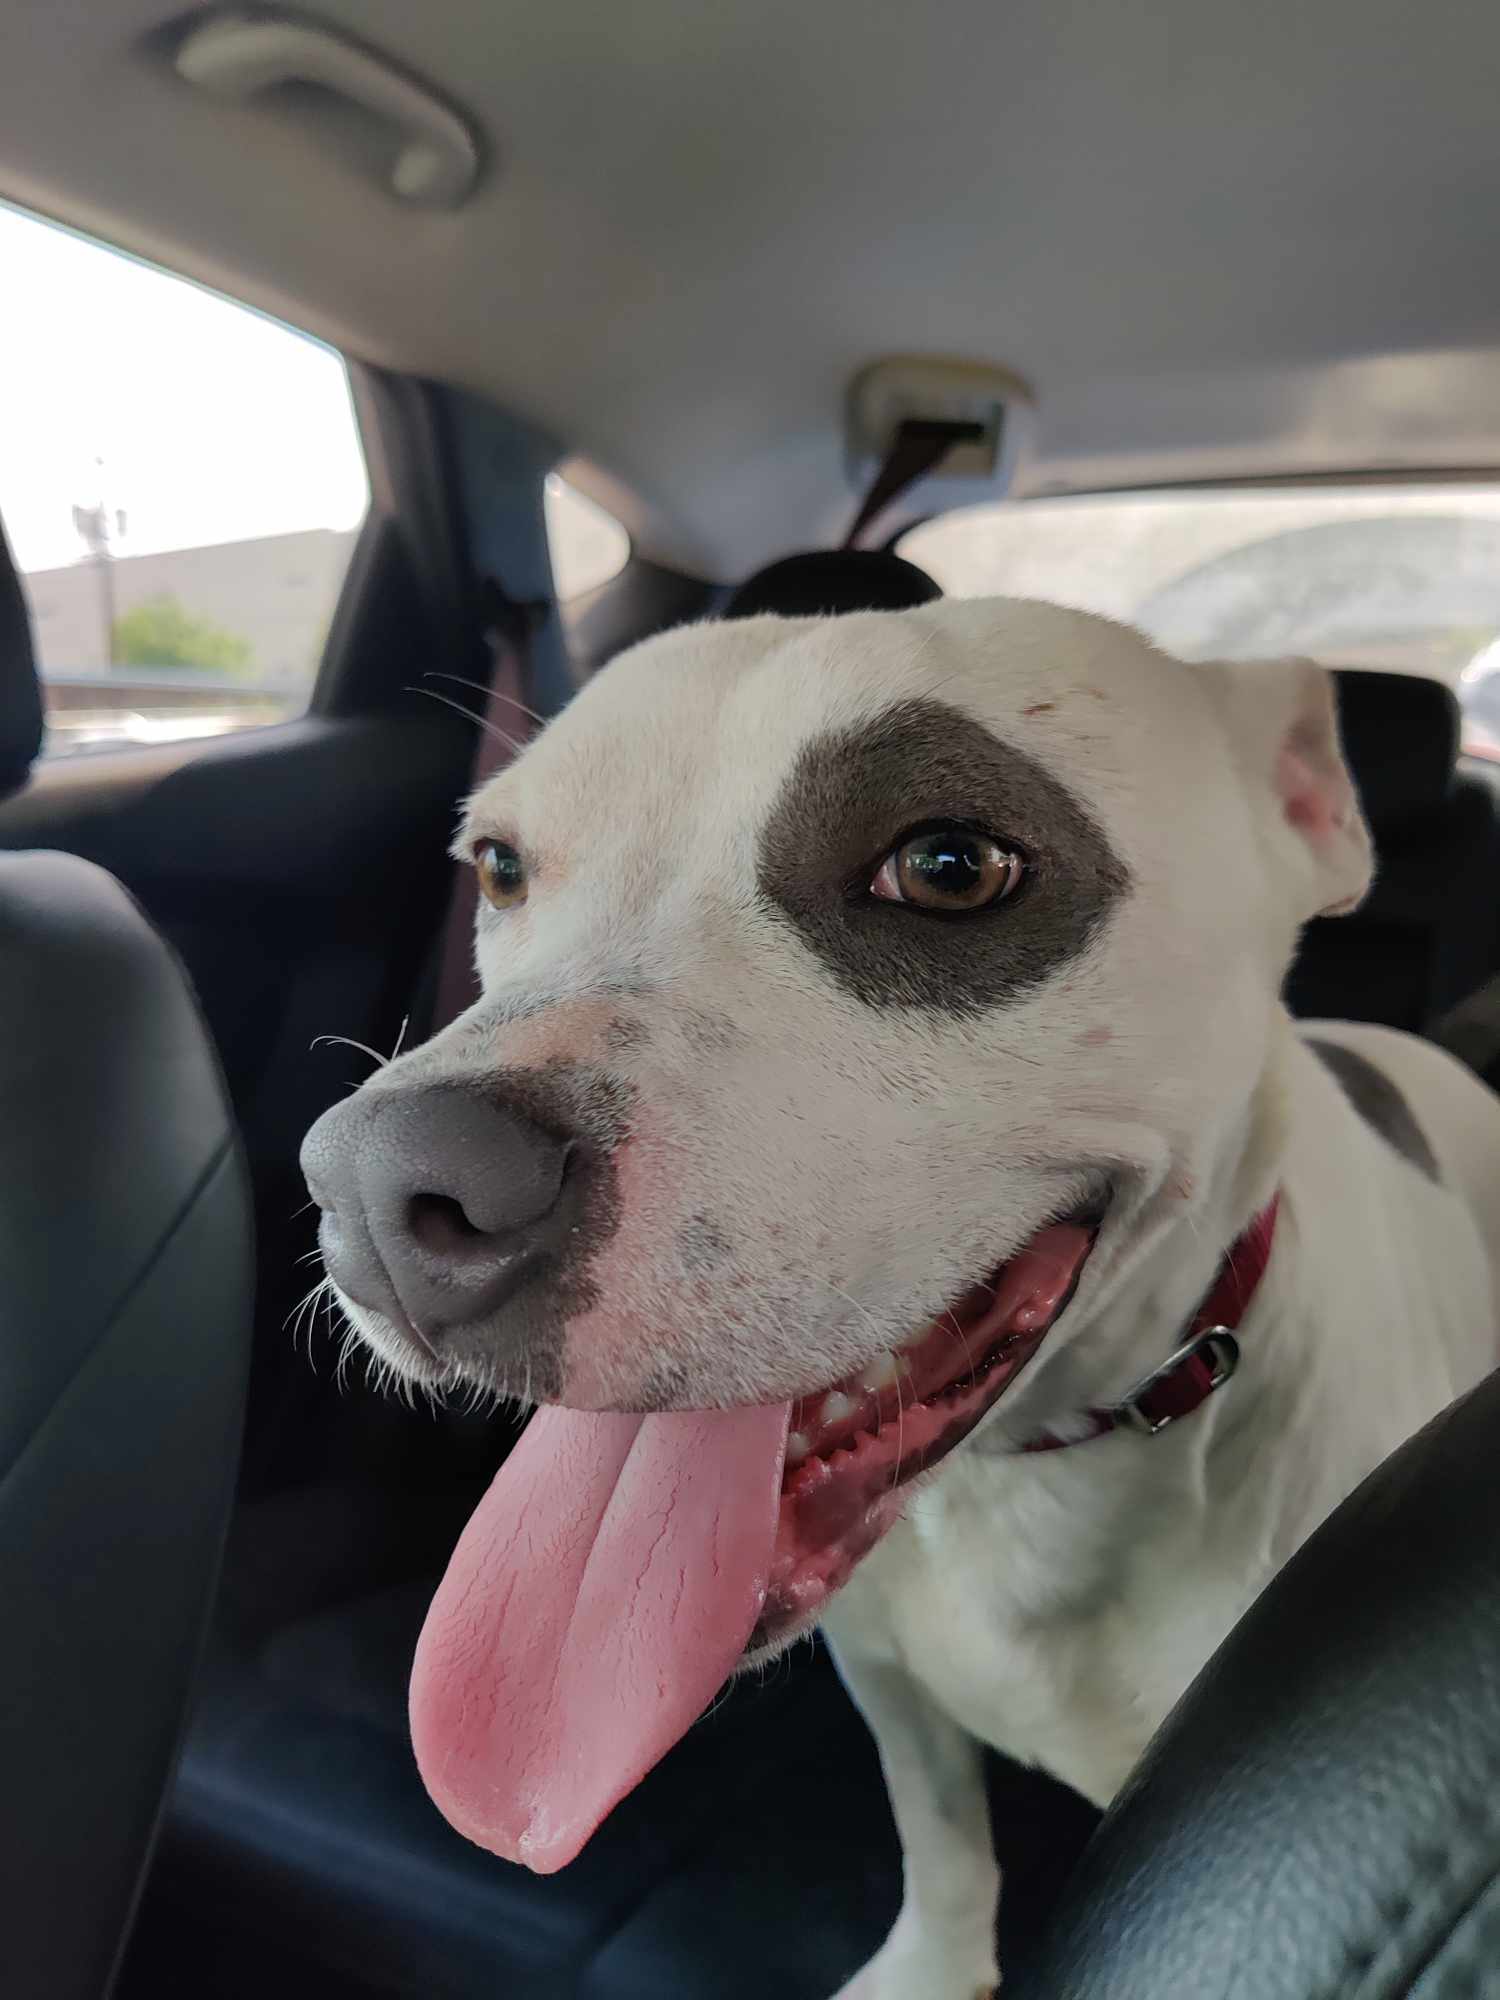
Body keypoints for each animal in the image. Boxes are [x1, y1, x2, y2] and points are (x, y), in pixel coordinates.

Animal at [300, 600, 1496, 2000]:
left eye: (948, 866)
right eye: (499, 865)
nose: (382, 1187)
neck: (1031, 1483)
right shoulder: (886, 1673)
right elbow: (939, 1823)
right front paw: (932, 1962)